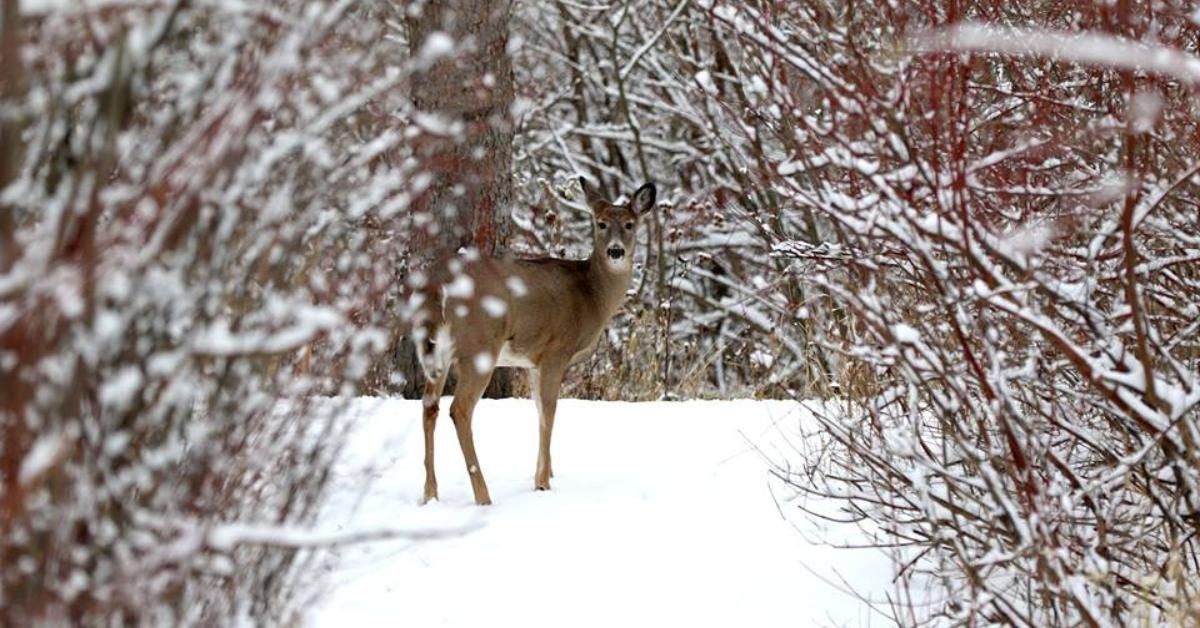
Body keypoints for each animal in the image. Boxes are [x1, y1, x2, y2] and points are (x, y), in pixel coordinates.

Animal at [410, 176, 657, 506]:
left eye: (630, 224)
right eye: (601, 223)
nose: (615, 251)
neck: (591, 295)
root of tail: (438, 286)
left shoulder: (532, 360)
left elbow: (538, 408)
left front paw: (547, 473)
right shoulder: (556, 349)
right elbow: (549, 411)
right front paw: (542, 483)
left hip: (437, 349)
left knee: (429, 406)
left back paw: (430, 494)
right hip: (480, 345)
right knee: (459, 409)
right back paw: (483, 496)